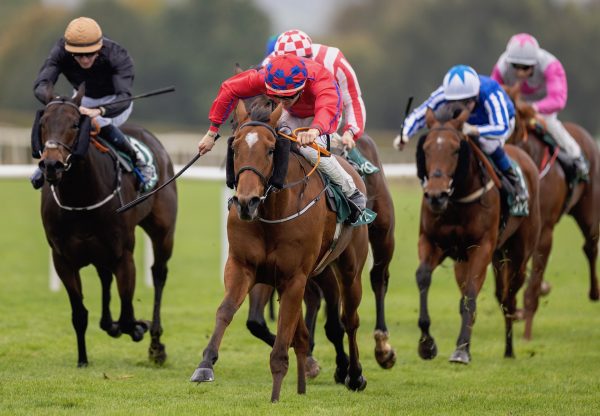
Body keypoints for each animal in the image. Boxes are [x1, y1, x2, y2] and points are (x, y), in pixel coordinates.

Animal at [35, 85, 177, 368]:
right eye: (43, 123)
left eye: (75, 123)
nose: (52, 165)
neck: (80, 198)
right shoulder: (62, 259)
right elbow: (79, 313)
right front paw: (82, 359)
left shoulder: (124, 254)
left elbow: (127, 315)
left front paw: (138, 327)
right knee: (104, 276)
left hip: (163, 231)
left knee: (158, 273)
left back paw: (155, 343)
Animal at [191, 99, 370, 402]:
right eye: (235, 148)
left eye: (271, 149)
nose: (246, 202)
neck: (272, 213)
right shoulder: (243, 266)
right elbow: (226, 310)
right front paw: (205, 365)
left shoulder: (294, 277)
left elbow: (285, 334)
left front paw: (276, 392)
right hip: (315, 274)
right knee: (311, 329)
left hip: (349, 268)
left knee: (350, 319)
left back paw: (355, 375)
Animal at [414, 105, 540, 362]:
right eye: (426, 148)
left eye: (455, 149)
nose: (436, 195)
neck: (457, 200)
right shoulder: (432, 242)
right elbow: (423, 276)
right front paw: (426, 344)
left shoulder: (482, 247)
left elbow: (471, 295)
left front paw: (461, 350)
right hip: (466, 261)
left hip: (519, 254)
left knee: (508, 298)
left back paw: (509, 349)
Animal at [504, 83, 596, 338]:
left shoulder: (544, 230)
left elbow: (532, 282)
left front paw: (526, 331)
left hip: (589, 213)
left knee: (590, 246)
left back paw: (594, 292)